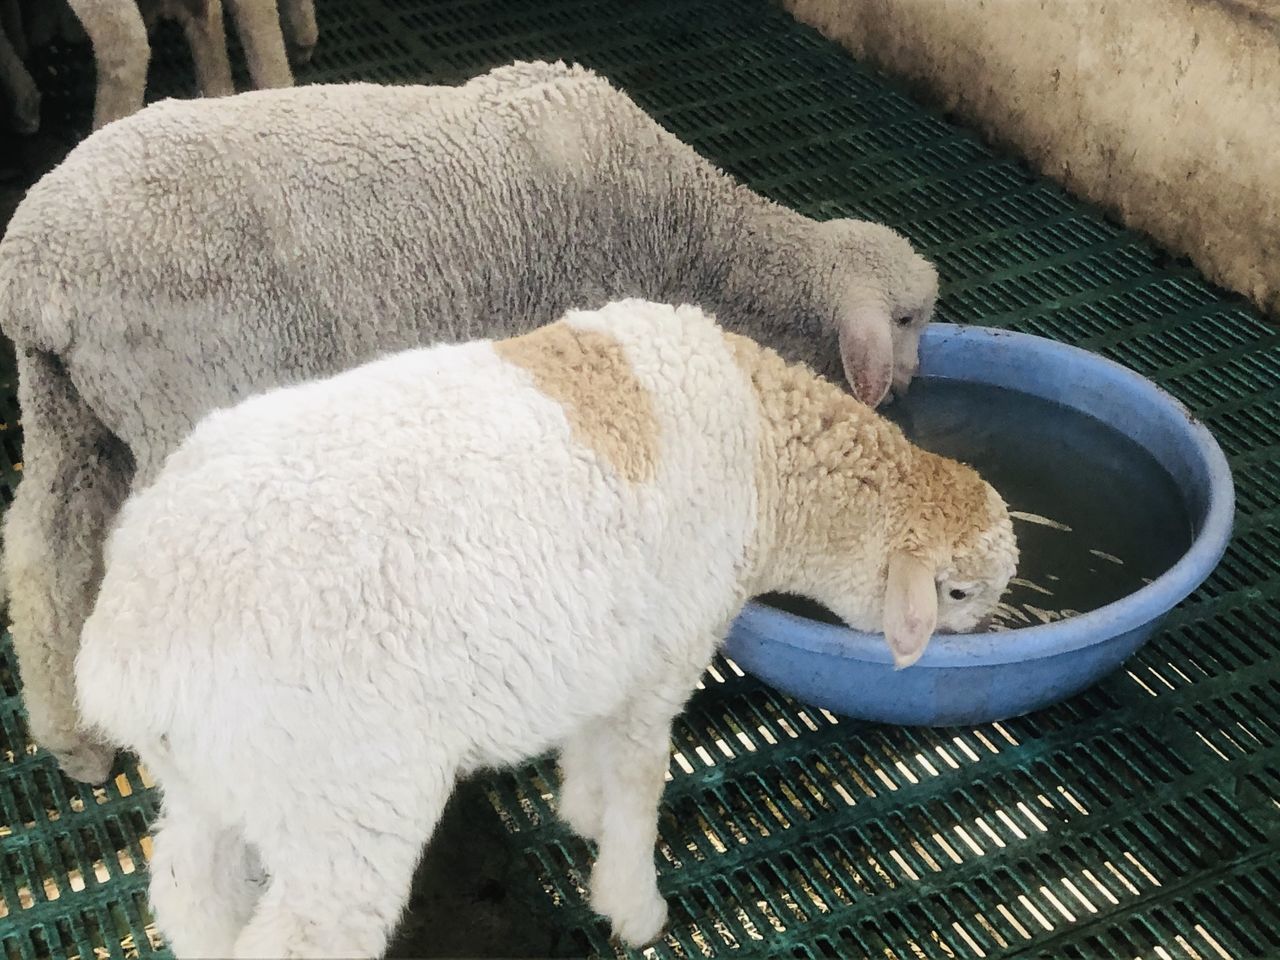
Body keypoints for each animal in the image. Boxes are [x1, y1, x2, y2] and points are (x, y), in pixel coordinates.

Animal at [0, 60, 942, 783]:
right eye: (908, 319)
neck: (693, 238)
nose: (911, 388)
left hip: (70, 408)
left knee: (44, 556)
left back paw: (74, 743)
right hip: (185, 387)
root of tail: (36, 270)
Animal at [77, 302, 1018, 960]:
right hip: (339, 799)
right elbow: (641, 782)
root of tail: (130, 641)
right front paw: (634, 905)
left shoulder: (606, 650)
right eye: (957, 590)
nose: (988, 634)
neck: (766, 456)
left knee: (189, 890)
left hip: (220, 779)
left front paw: (580, 812)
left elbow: (592, 747)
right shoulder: (667, 654)